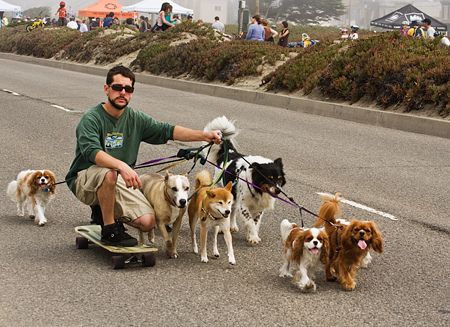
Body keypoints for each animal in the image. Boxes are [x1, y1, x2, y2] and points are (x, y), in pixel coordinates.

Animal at [204, 116, 284, 245]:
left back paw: (232, 226)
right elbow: (250, 221)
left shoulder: (258, 208)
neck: (257, 188)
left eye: (279, 178)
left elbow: (255, 222)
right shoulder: (244, 205)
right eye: (269, 178)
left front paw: (251, 235)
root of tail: (229, 152)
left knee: (231, 211)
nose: (278, 191)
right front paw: (254, 237)